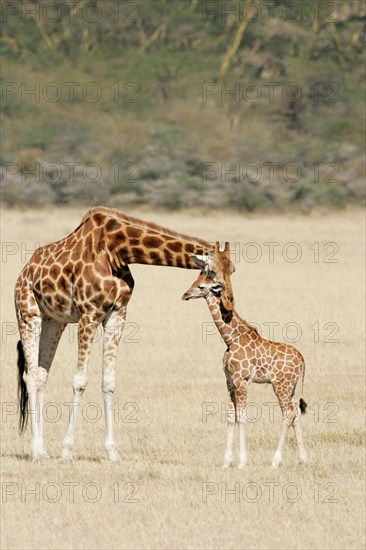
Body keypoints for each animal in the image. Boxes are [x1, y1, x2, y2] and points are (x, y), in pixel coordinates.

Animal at [15, 207, 234, 462]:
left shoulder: (117, 315)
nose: (229, 304)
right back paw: (36, 451)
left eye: (233, 270)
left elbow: (109, 382)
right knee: (30, 376)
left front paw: (112, 452)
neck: (117, 251)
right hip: (28, 313)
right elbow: (80, 381)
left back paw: (42, 450)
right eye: (211, 272)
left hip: (54, 321)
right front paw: (67, 450)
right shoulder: (89, 314)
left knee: (41, 374)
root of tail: (24, 272)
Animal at [182, 248, 306, 468]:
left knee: (288, 413)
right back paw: (303, 459)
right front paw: (226, 462)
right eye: (195, 280)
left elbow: (243, 416)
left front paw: (241, 462)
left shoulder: (242, 381)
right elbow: (231, 416)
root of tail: (301, 360)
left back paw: (275, 461)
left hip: (280, 385)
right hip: (291, 387)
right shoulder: (229, 381)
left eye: (201, 286)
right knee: (296, 412)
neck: (230, 339)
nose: (185, 294)